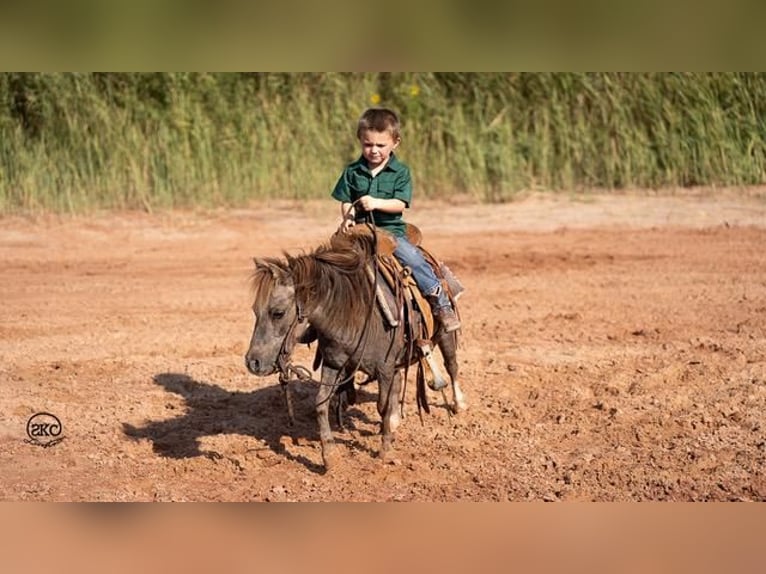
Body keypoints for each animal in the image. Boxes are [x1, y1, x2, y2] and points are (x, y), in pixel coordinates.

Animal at [246, 231, 464, 472]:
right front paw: (329, 455)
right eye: (255, 311)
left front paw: (385, 450)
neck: (353, 311)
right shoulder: (333, 364)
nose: (253, 362)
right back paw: (395, 421)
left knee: (451, 365)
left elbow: (382, 405)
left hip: (444, 335)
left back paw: (458, 404)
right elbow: (321, 402)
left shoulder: (384, 368)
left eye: (278, 313)